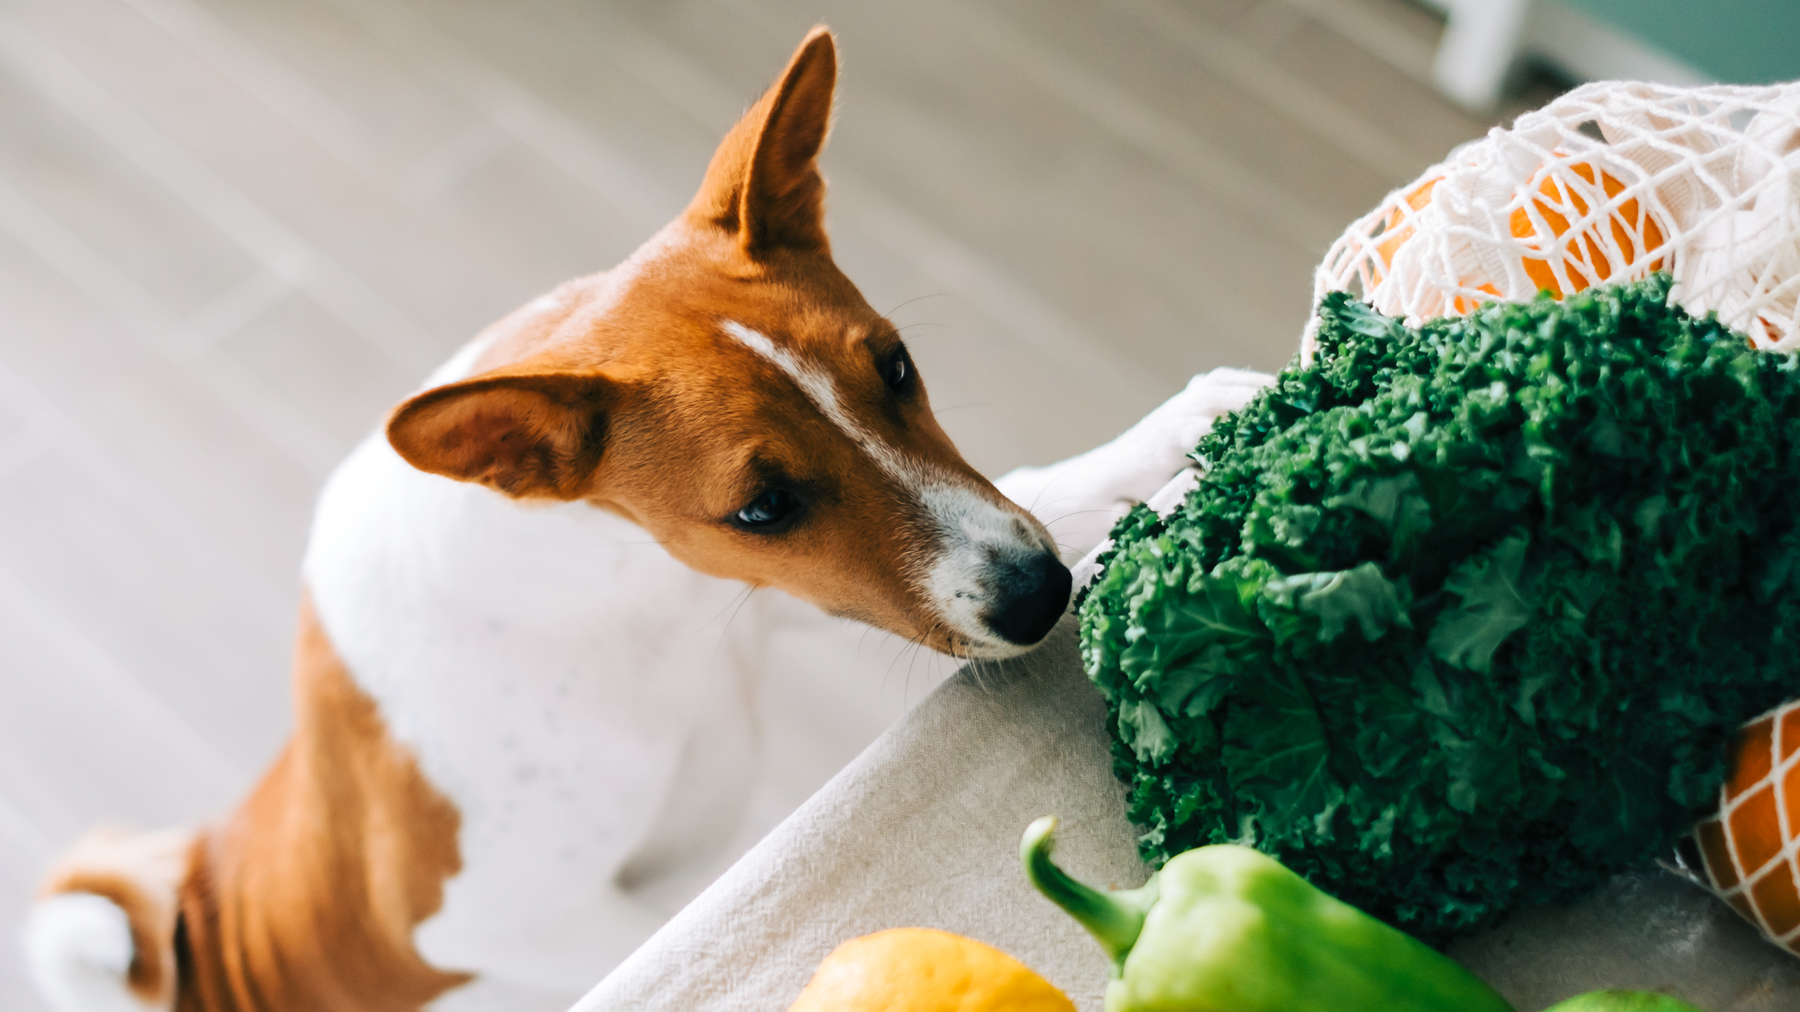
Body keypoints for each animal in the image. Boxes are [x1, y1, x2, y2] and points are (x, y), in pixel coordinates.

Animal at [24, 27, 1267, 1001]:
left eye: (898, 366)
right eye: (762, 506)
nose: (1039, 594)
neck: (618, 606)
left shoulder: (789, 598)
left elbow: (1050, 482)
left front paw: (1197, 424)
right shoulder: (498, 924)